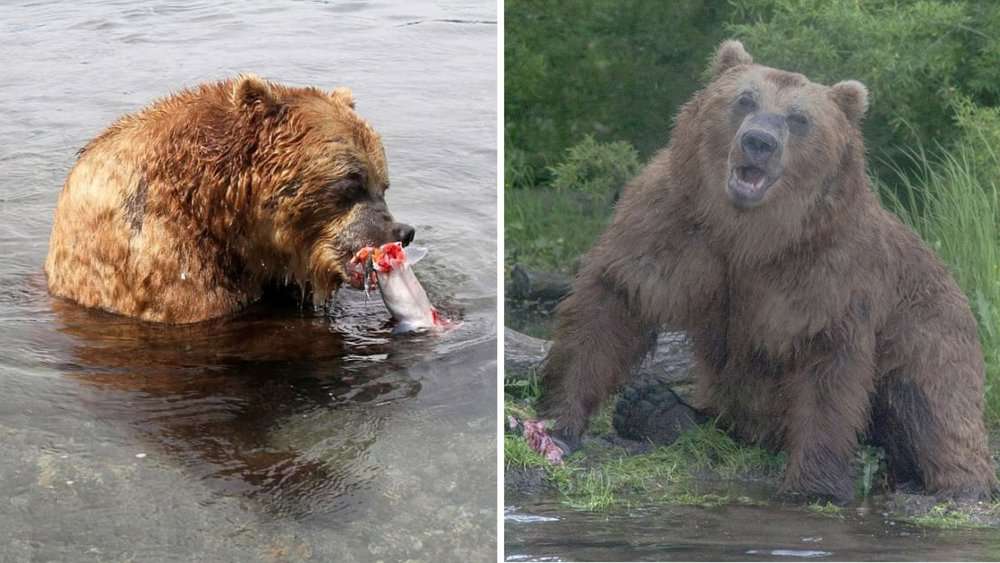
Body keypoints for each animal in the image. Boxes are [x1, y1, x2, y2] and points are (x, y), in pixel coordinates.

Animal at [537, 40, 997, 503]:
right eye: (744, 99)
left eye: (799, 118)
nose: (759, 141)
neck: (748, 234)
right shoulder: (672, 225)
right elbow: (614, 302)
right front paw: (560, 421)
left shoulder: (826, 268)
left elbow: (826, 364)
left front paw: (814, 486)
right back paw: (656, 410)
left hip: (931, 334)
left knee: (928, 403)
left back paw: (952, 484)